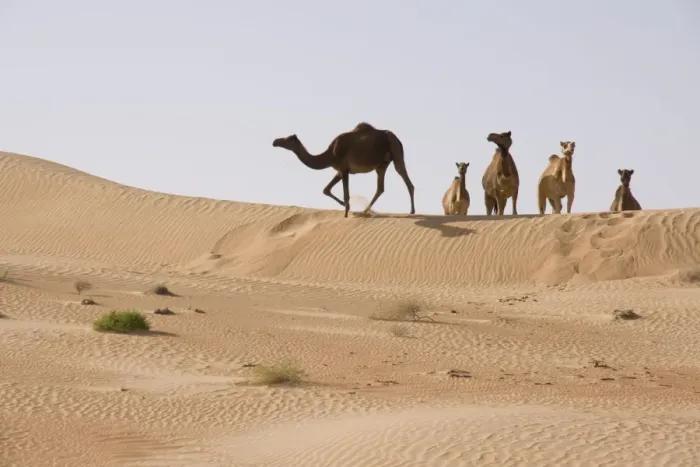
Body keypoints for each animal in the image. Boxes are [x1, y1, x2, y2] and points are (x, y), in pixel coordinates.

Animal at [272, 122, 415, 218]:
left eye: (288, 139)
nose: (275, 141)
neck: (330, 154)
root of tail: (397, 139)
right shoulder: (339, 170)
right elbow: (326, 189)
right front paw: (344, 206)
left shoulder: (344, 167)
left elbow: (346, 194)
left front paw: (346, 213)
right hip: (382, 163)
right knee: (380, 188)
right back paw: (365, 211)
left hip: (395, 151)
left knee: (405, 178)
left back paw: (412, 211)